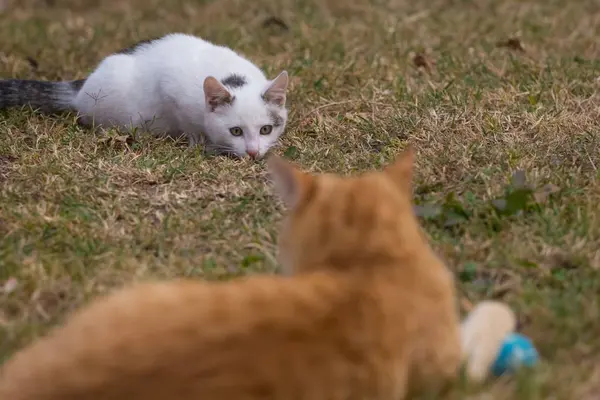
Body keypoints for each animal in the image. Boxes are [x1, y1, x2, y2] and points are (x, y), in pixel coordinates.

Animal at [0, 32, 290, 159]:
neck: (231, 76)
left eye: (266, 129)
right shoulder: (172, 91)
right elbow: (190, 127)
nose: (253, 152)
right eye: (236, 131)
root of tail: (80, 89)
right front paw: (202, 144)